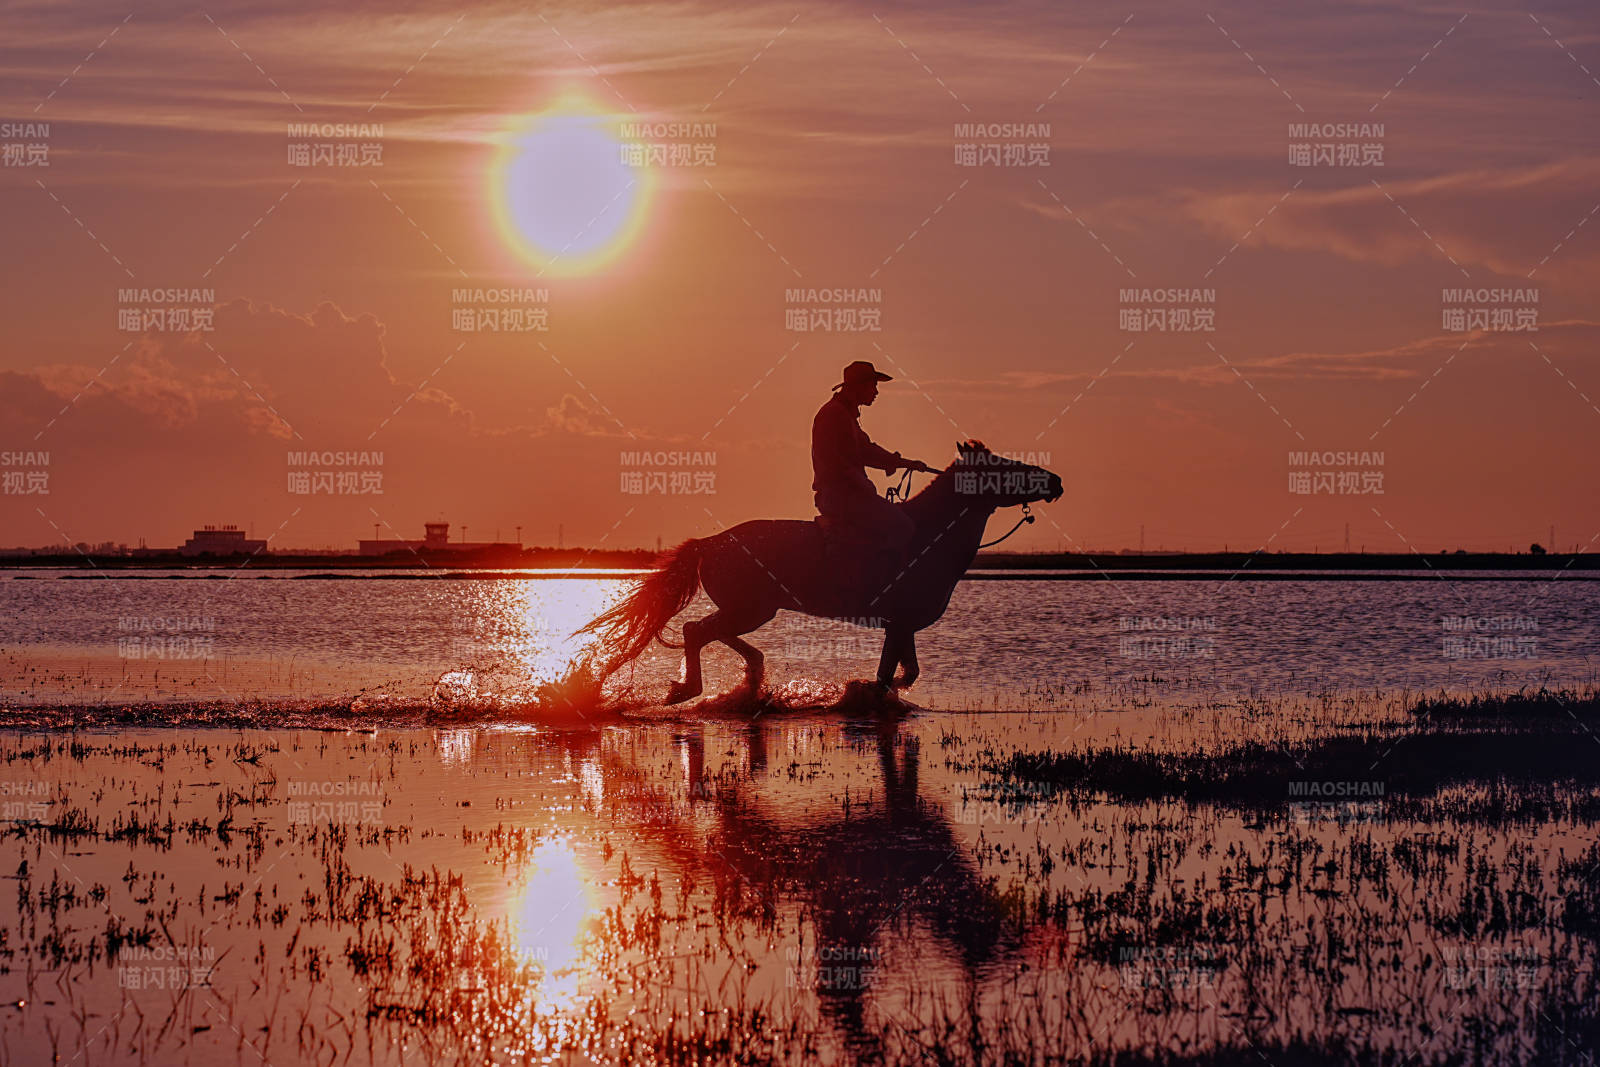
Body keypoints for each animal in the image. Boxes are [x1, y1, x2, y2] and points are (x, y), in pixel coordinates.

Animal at [579, 441, 1063, 703]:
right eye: (1005, 466)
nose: (1054, 481)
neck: (930, 536)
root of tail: (711, 541)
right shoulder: (899, 624)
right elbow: (889, 677)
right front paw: (861, 694)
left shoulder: (901, 626)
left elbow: (905, 673)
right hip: (752, 608)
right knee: (697, 630)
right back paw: (688, 690)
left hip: (753, 610)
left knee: (710, 633)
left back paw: (750, 678)